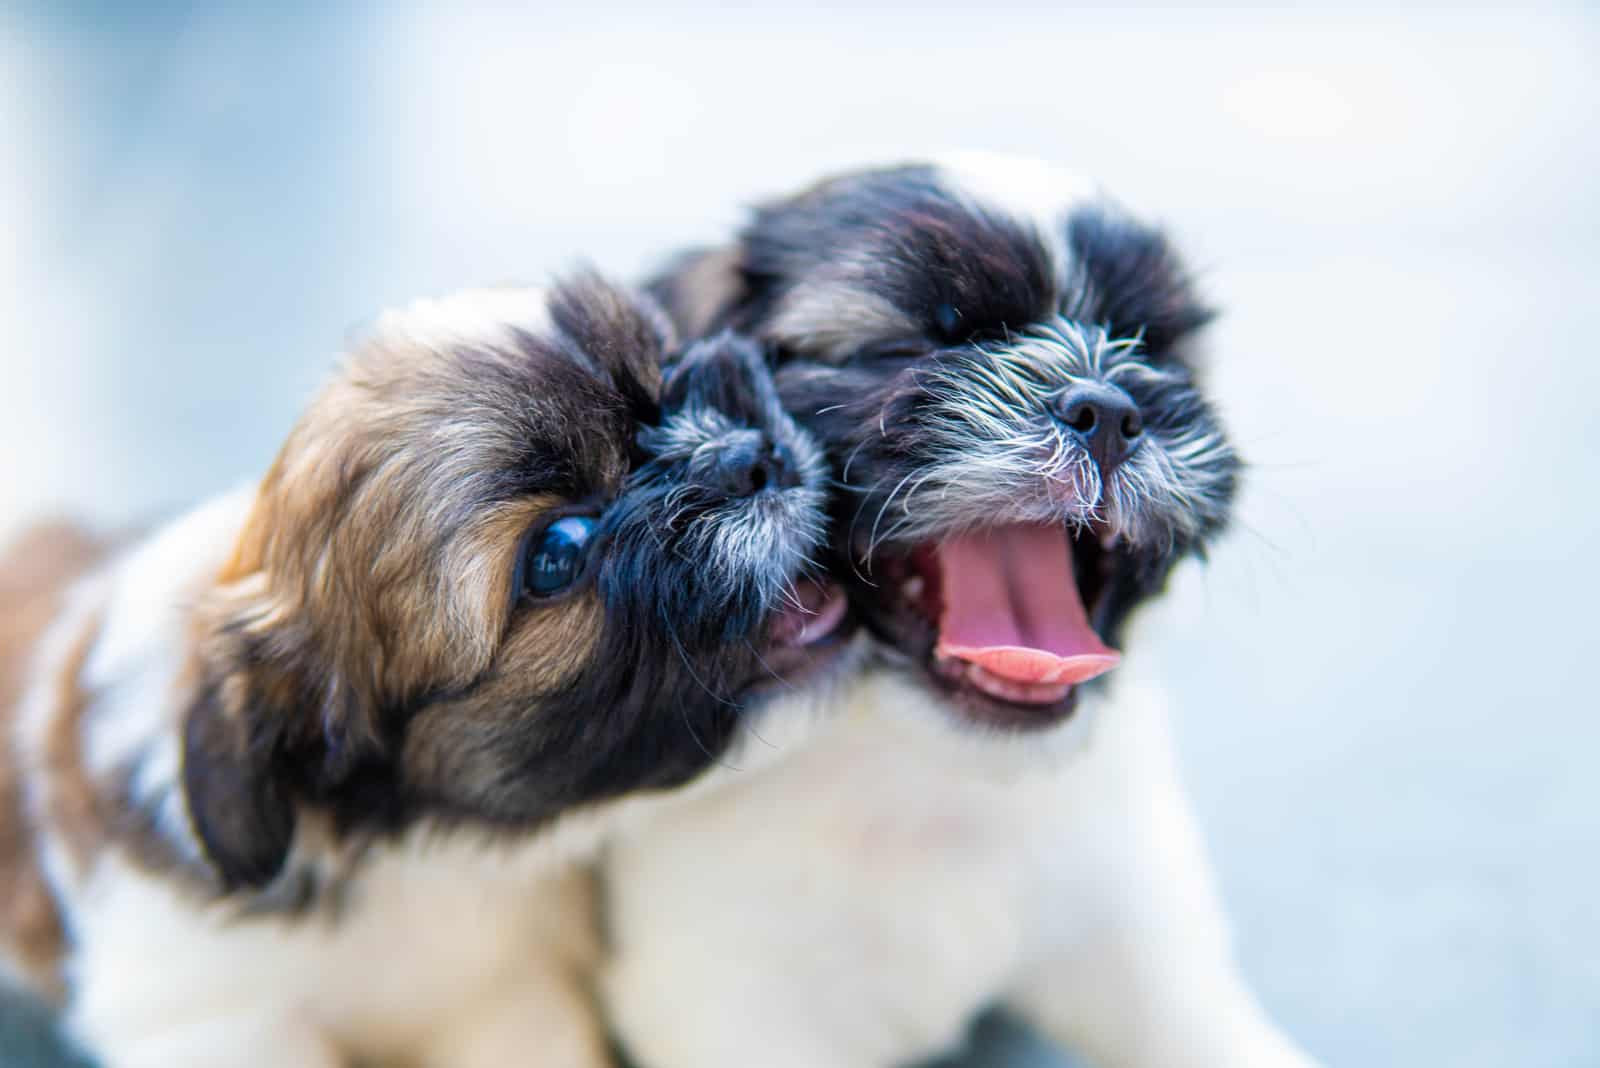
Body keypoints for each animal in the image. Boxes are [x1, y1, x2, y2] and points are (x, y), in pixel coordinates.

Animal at [0, 278, 851, 1068]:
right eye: (556, 554)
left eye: (668, 369)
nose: (751, 456)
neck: (417, 859)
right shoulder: (219, 1025)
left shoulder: (511, 998)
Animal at [601, 156, 1324, 1068]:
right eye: (915, 346)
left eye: (1154, 349)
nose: (1108, 410)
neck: (932, 784)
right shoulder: (733, 1001)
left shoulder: (1131, 921)